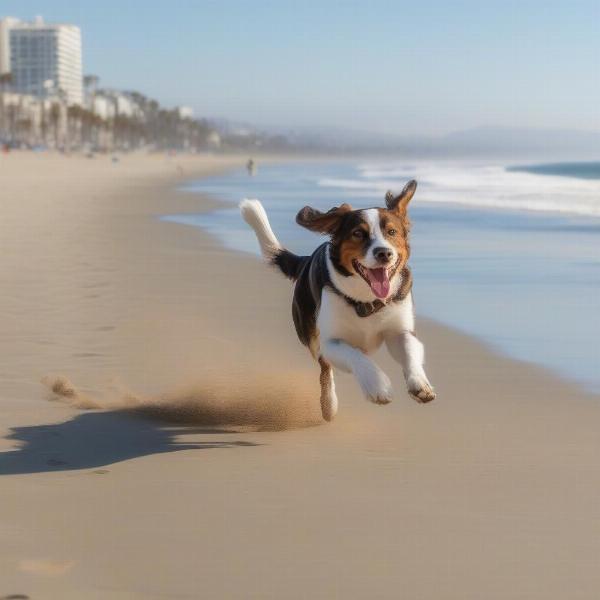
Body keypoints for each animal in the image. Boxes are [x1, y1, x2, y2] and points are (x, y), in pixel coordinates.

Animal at [240, 180, 436, 420]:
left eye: (392, 232)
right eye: (358, 233)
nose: (384, 253)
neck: (366, 300)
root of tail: (305, 261)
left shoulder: (400, 330)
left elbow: (409, 350)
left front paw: (420, 384)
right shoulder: (330, 342)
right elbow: (355, 356)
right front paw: (377, 386)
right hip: (310, 334)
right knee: (326, 370)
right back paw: (329, 405)